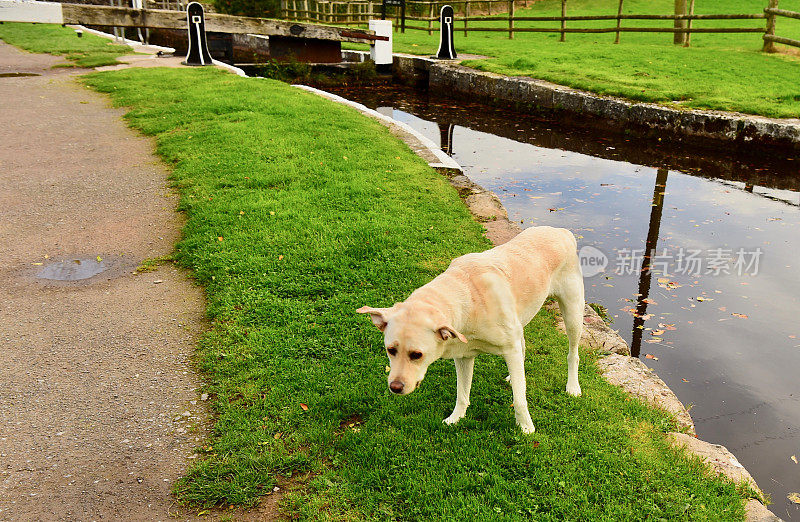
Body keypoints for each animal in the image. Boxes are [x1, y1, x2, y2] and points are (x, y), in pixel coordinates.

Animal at [360, 225, 584, 432]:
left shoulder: (509, 348)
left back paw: (572, 386)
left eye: (417, 355)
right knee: (522, 348)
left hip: (573, 313)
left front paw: (526, 427)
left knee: (572, 353)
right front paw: (456, 417)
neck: (469, 297)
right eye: (391, 350)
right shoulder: (463, 356)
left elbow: (520, 399)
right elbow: (462, 393)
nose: (395, 387)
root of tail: (560, 230)